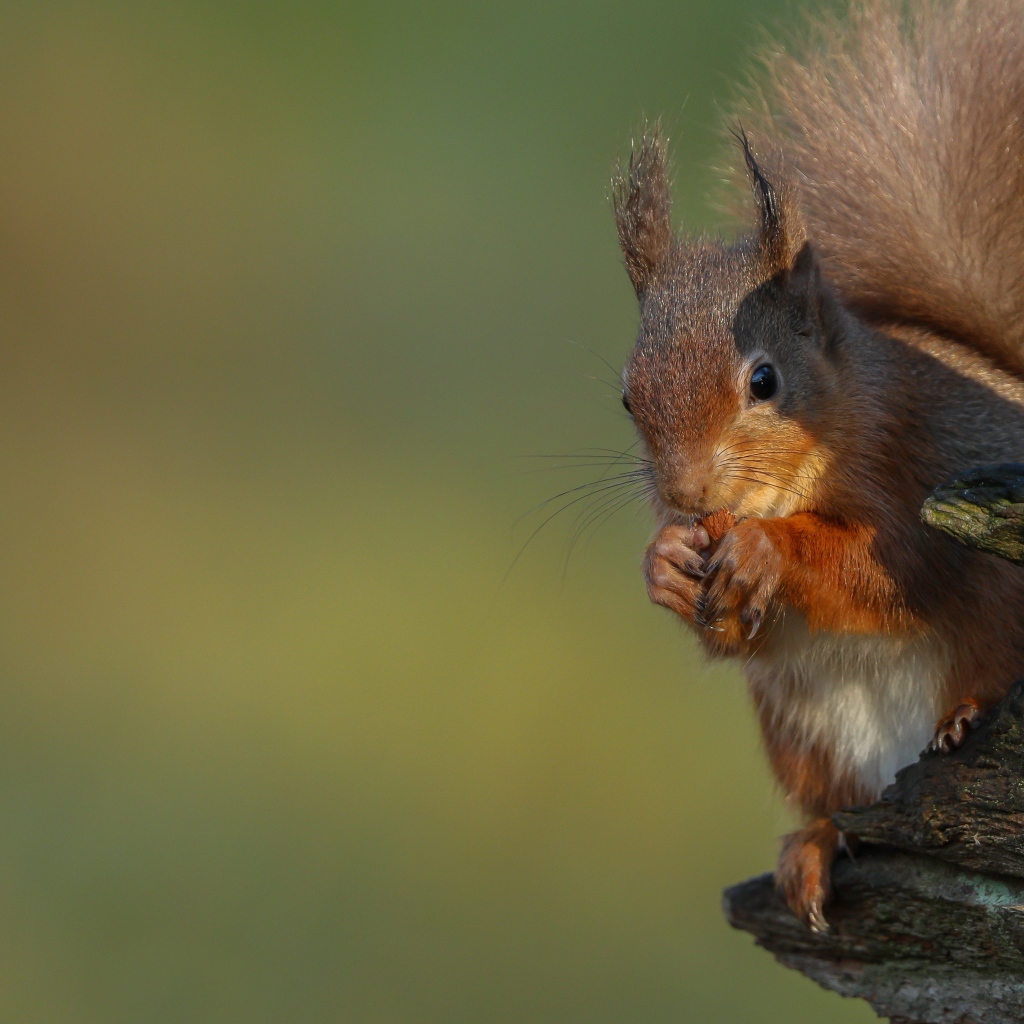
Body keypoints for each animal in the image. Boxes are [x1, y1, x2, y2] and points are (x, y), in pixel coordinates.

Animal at [614, 0, 1024, 933]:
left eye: (764, 380)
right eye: (626, 398)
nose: (685, 495)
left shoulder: (913, 464)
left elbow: (890, 568)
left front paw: (774, 551)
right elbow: (737, 632)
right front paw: (663, 563)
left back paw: (968, 712)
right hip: (806, 738)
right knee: (841, 812)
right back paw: (814, 845)